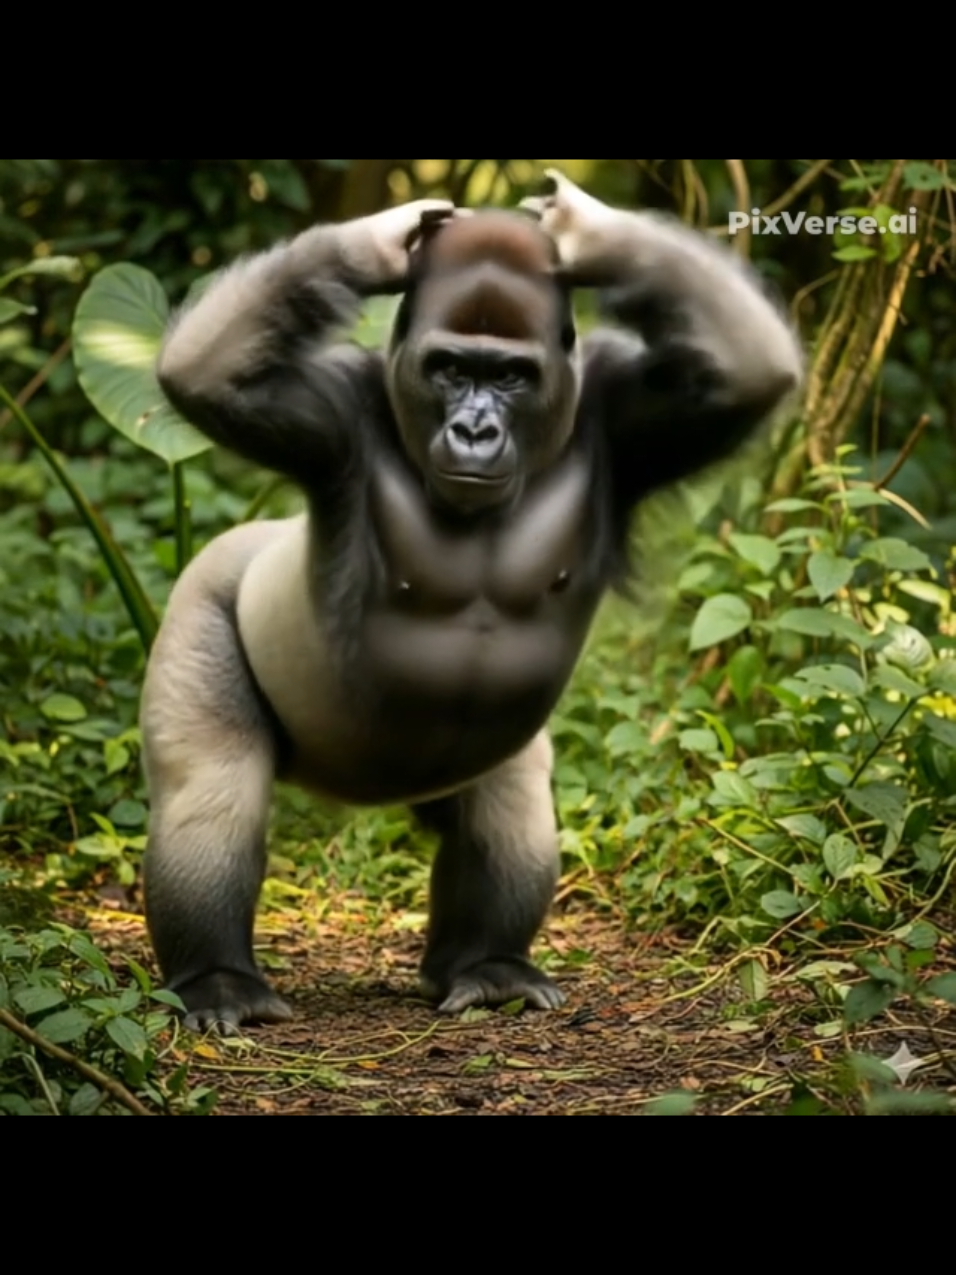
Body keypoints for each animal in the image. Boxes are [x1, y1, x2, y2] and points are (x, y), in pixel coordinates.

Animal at [141, 169, 803, 1034]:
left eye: (511, 375)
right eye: (451, 368)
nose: (475, 430)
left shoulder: (625, 415)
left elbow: (750, 368)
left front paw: (585, 228)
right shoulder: (330, 416)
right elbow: (203, 373)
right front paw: (384, 239)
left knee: (508, 802)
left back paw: (482, 967)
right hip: (206, 590)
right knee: (212, 785)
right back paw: (216, 978)